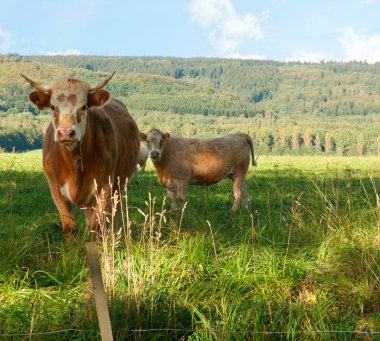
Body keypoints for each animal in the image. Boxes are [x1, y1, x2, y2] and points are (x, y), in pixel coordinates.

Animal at [21, 72, 140, 242]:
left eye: (84, 107)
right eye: (53, 107)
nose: (66, 133)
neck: (74, 161)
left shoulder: (106, 184)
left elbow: (95, 225)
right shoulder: (54, 186)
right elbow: (70, 225)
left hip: (120, 184)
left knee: (113, 215)